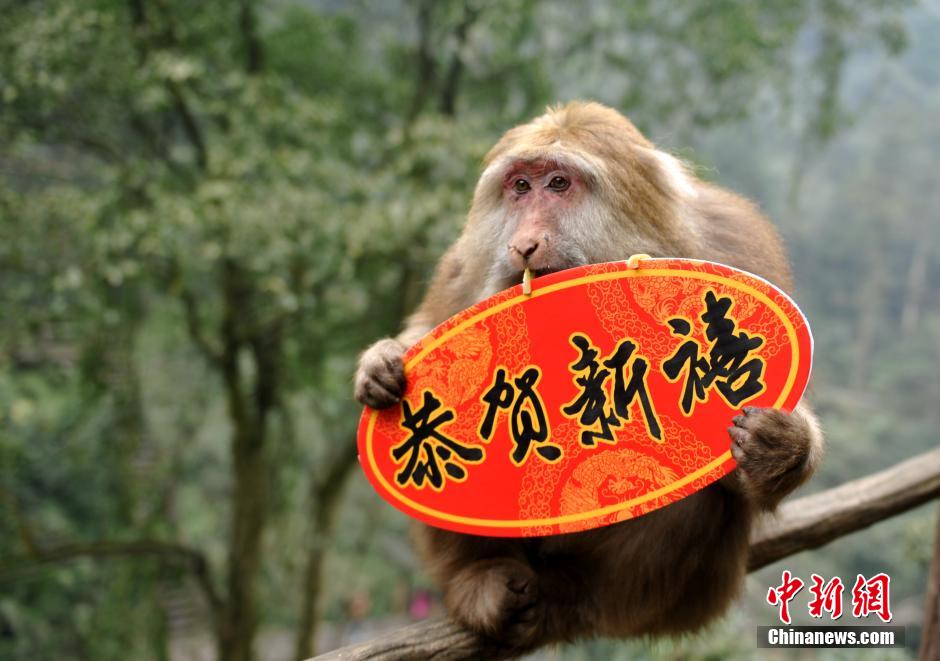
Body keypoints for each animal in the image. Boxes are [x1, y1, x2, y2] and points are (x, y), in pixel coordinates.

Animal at [354, 101, 823, 653]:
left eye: (559, 183)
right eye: (520, 186)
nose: (524, 244)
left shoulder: (735, 248)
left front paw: (782, 446)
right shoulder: (465, 264)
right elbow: (434, 333)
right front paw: (383, 362)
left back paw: (572, 592)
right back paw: (483, 577)